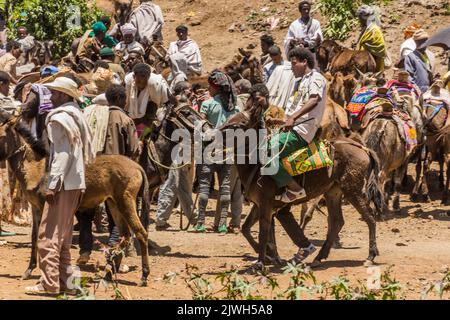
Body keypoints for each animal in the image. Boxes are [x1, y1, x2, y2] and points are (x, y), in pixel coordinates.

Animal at [0, 110, 151, 288]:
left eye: (0, 135)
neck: (36, 169)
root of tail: (137, 166)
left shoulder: (46, 207)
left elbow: (47, 238)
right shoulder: (36, 208)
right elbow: (35, 238)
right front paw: (29, 270)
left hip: (126, 202)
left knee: (141, 233)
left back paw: (143, 276)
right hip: (114, 204)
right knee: (126, 236)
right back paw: (107, 275)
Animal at [218, 102, 384, 268]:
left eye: (239, 124)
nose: (215, 135)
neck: (255, 165)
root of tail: (364, 149)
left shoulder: (265, 204)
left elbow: (263, 233)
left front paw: (260, 263)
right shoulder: (259, 205)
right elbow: (247, 229)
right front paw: (270, 256)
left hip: (353, 190)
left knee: (369, 218)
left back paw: (370, 255)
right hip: (333, 192)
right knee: (337, 222)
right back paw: (318, 257)